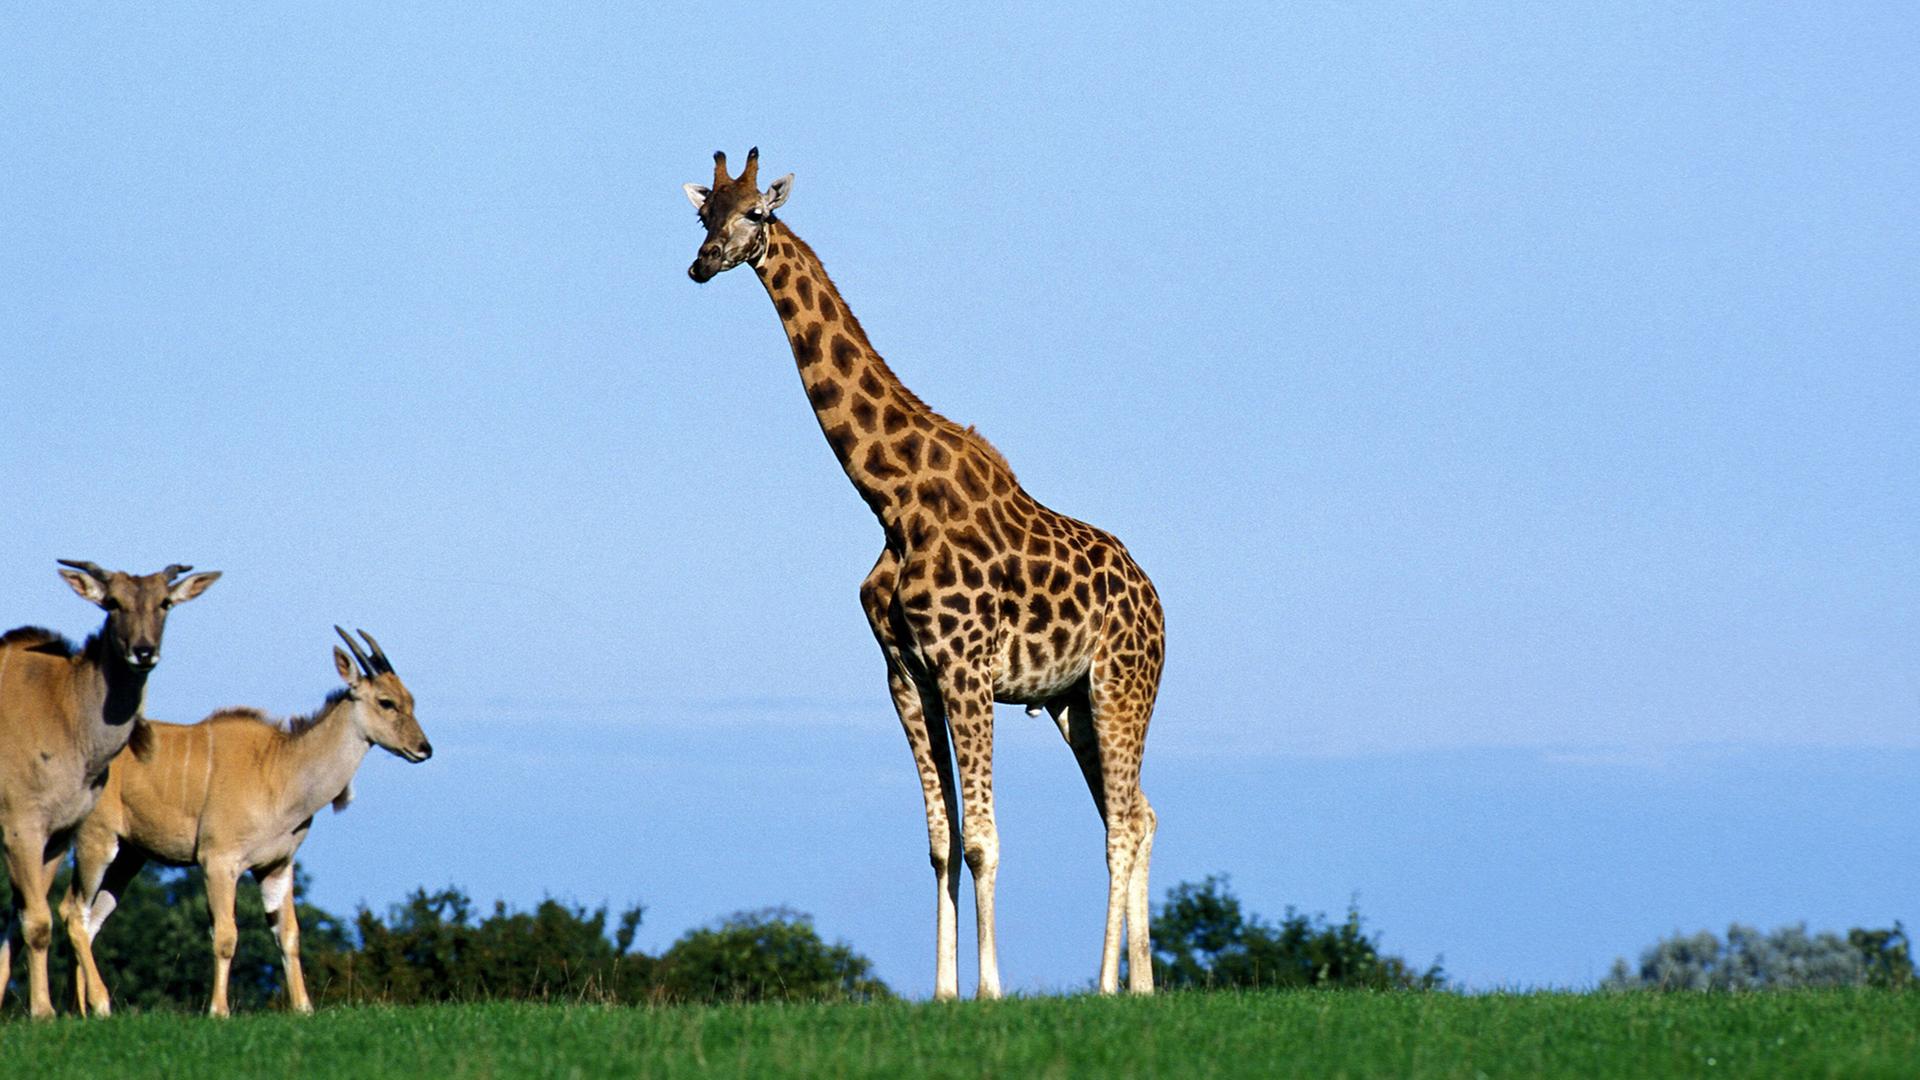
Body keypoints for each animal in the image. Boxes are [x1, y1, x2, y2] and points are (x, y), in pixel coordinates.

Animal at [685, 148, 1166, 998]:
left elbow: (982, 839)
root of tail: (1163, 607)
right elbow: (942, 842)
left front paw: (990, 991)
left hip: (1120, 686)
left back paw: (1110, 985)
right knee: (1133, 813)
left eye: (756, 215)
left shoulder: (966, 667)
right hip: (1074, 703)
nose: (701, 264)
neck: (892, 499)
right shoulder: (907, 672)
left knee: (1124, 823)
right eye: (702, 214)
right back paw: (1141, 983)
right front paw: (943, 992)